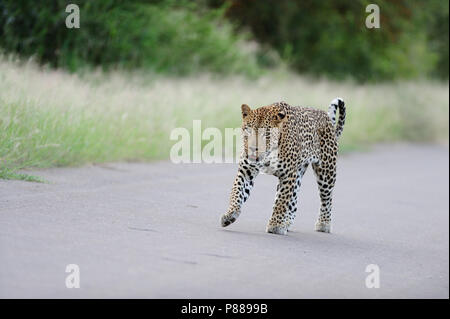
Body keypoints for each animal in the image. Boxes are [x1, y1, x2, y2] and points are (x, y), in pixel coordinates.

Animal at [220, 97, 346, 235]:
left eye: (267, 134)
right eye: (248, 130)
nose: (253, 148)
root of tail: (327, 119)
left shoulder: (288, 175)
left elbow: (281, 201)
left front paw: (275, 225)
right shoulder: (246, 171)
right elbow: (236, 192)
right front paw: (229, 215)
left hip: (326, 171)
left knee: (326, 198)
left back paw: (324, 223)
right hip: (298, 174)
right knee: (294, 201)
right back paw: (287, 223)